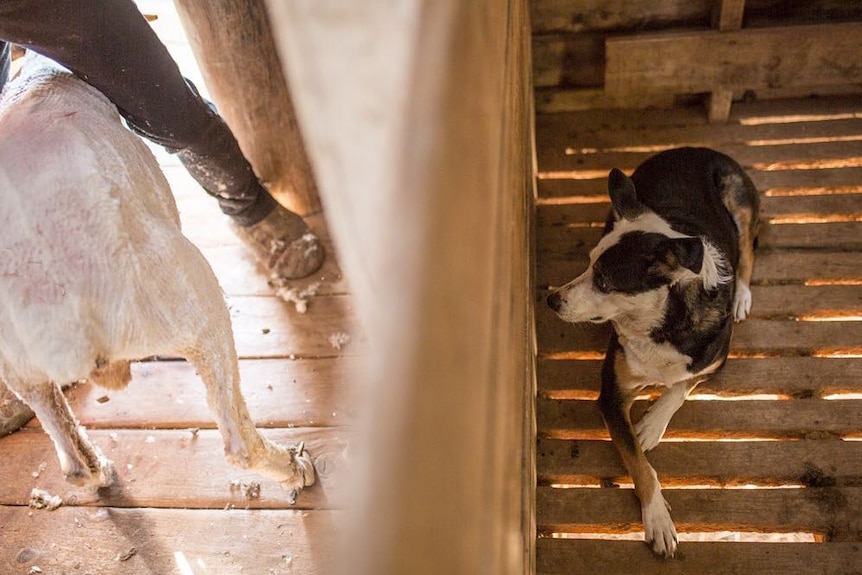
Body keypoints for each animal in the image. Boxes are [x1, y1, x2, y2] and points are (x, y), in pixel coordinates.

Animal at [0, 55, 318, 500]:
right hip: (191, 302)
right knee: (237, 441)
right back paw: (295, 467)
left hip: (20, 369)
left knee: (71, 460)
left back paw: (101, 471)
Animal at [552, 147, 760, 560]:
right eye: (588, 262)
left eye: (604, 281)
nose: (552, 300)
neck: (662, 324)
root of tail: (692, 149)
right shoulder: (611, 395)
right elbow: (640, 464)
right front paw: (658, 520)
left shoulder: (714, 362)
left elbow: (679, 388)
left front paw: (650, 425)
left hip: (739, 201)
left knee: (747, 248)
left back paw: (743, 294)